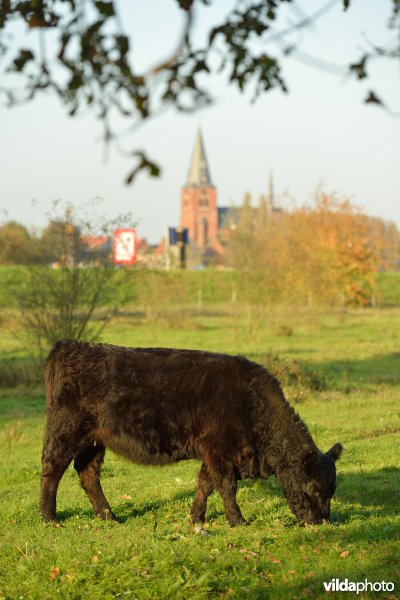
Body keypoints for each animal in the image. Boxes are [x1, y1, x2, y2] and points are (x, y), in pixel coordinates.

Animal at [39, 340, 342, 528]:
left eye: (332, 489)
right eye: (314, 488)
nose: (323, 522)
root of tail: (70, 345)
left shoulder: (214, 453)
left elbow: (205, 483)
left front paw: (197, 517)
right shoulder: (220, 449)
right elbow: (226, 486)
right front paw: (238, 521)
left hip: (95, 439)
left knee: (87, 472)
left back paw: (108, 516)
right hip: (67, 428)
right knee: (52, 468)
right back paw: (49, 517)